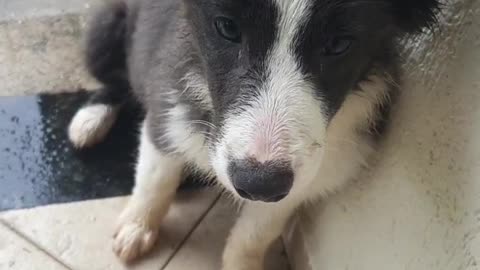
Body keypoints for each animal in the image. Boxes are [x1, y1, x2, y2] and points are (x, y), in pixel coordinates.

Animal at [67, 0, 438, 268]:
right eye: (227, 28)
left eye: (339, 45)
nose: (259, 184)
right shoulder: (167, 102)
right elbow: (154, 180)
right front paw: (138, 226)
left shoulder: (304, 180)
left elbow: (255, 234)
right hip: (104, 32)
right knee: (116, 81)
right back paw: (90, 119)